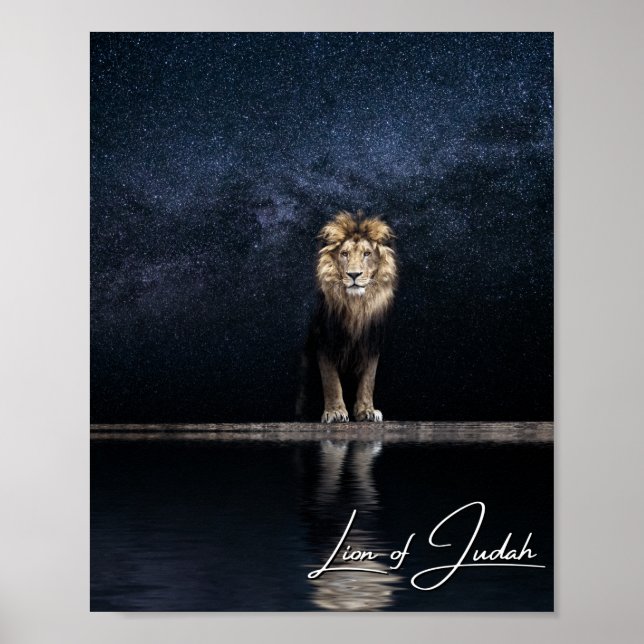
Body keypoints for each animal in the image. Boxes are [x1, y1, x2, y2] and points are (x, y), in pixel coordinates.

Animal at [296, 210, 398, 423]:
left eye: (367, 254)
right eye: (344, 254)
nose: (353, 274)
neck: (356, 305)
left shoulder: (372, 342)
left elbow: (368, 379)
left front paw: (367, 411)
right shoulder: (325, 340)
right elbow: (331, 380)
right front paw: (335, 412)